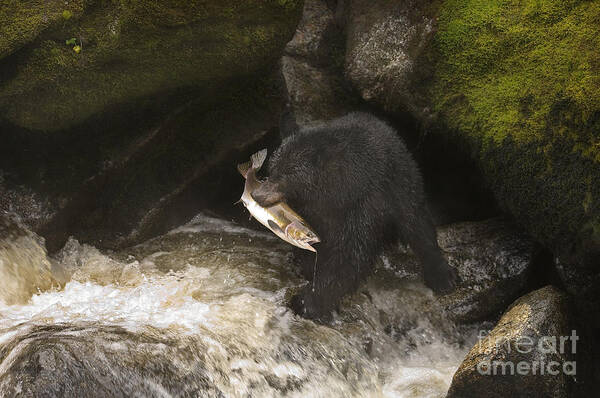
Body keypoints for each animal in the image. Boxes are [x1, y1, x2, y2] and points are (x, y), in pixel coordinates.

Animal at [252, 112, 454, 320]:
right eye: (272, 168)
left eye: (286, 174)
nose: (257, 195)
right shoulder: (310, 213)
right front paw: (307, 269)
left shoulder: (362, 205)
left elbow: (350, 254)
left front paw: (308, 302)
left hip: (402, 183)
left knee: (417, 224)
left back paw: (442, 277)